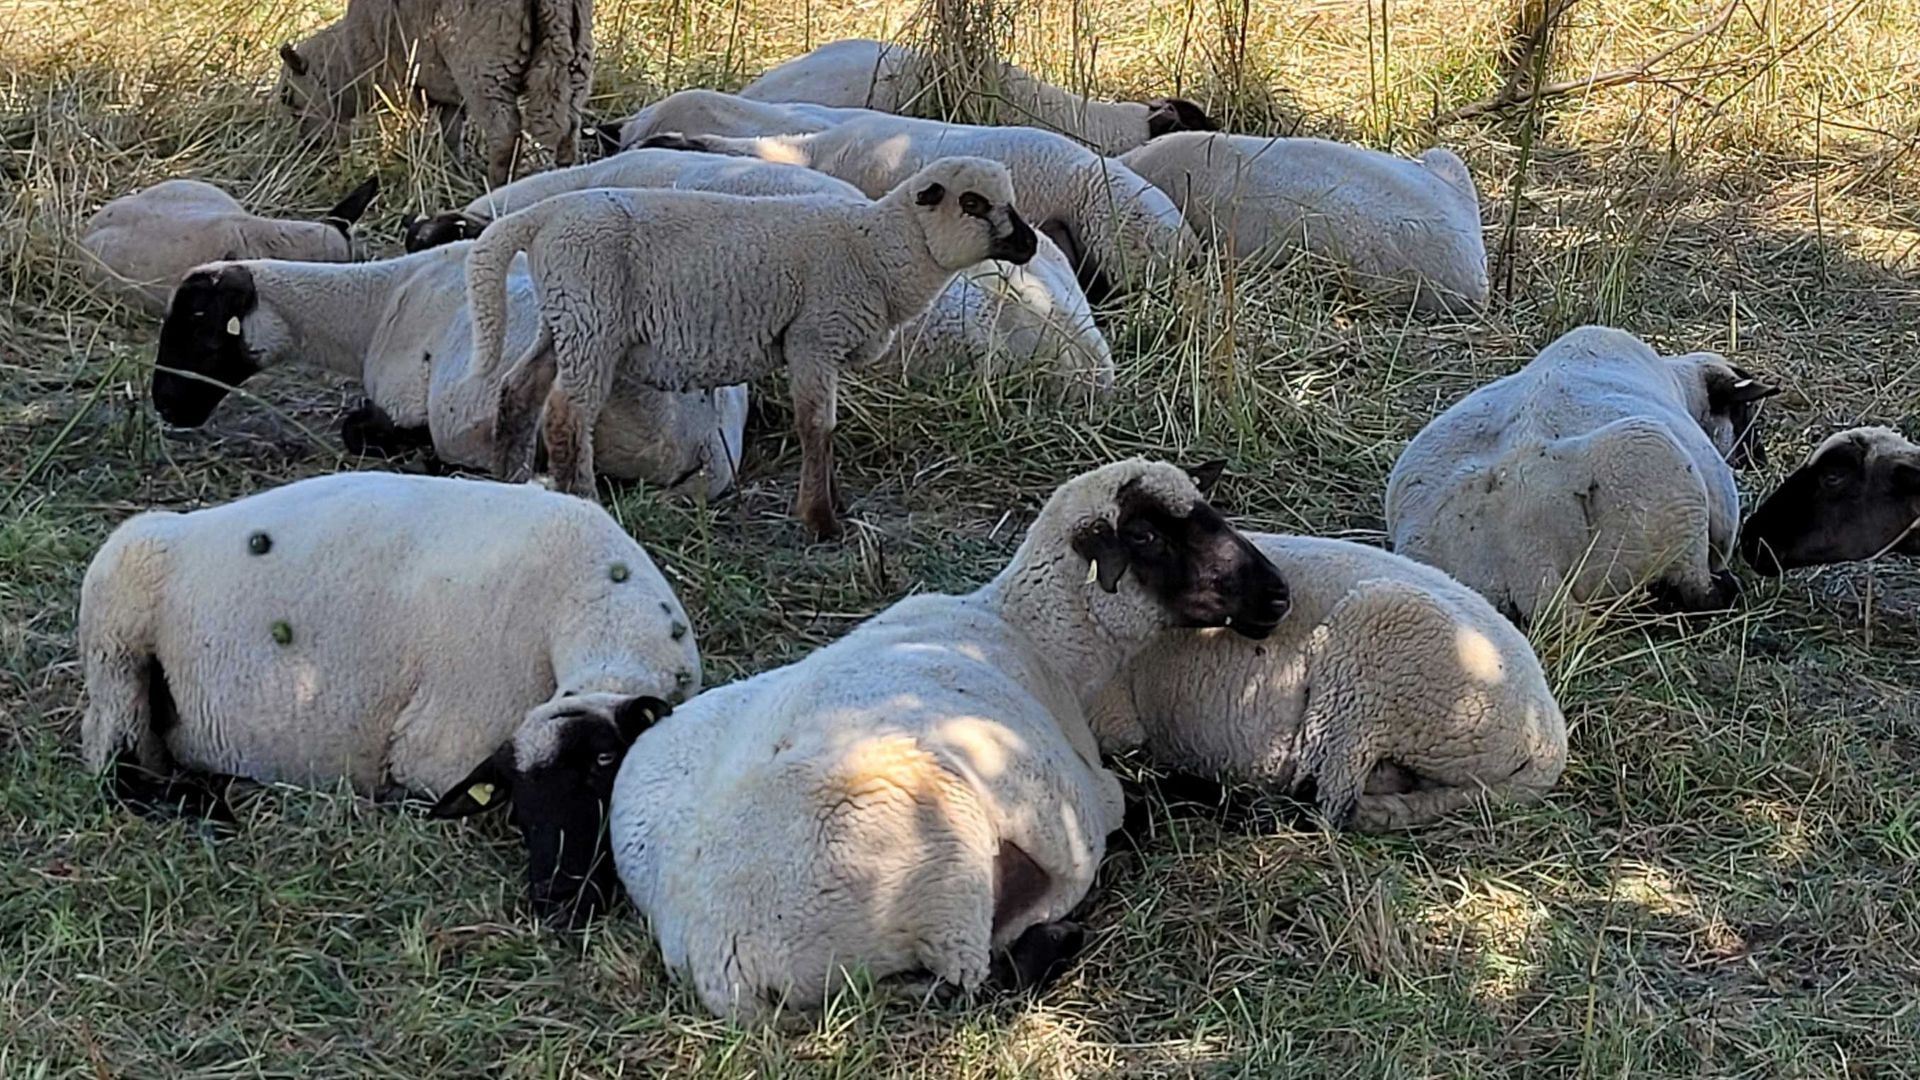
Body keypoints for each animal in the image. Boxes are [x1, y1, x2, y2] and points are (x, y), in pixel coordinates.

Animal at [79, 471, 695, 924]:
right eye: (520, 798)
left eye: (604, 761)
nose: (557, 902)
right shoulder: (438, 750)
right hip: (115, 647)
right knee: (116, 771)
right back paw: (206, 809)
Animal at [150, 247, 748, 500]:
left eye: (199, 327)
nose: (165, 405)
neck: (375, 302)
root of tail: (700, 433)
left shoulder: (407, 397)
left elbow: (362, 428)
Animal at [275, 0, 592, 186]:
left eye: (287, 98)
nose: (308, 149)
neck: (351, 61)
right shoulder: (447, 93)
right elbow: (451, 134)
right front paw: (455, 172)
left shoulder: (403, 85)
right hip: (574, 57)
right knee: (569, 129)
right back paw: (565, 175)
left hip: (483, 68)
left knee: (505, 135)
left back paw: (497, 185)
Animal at [468, 156, 1041, 538]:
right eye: (973, 203)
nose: (1031, 243)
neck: (879, 249)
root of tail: (542, 215)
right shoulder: (813, 337)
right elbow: (817, 427)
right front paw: (821, 520)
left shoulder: (820, 346)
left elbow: (824, 428)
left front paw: (836, 505)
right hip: (592, 318)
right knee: (567, 414)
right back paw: (583, 499)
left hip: (565, 315)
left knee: (519, 391)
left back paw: (510, 481)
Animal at [607, 458, 1291, 1023]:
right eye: (1147, 537)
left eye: (1208, 511)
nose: (1278, 595)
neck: (1034, 635)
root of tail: (720, 960)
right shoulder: (1096, 792)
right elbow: (1159, 797)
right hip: (945, 870)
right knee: (975, 979)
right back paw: (1059, 935)